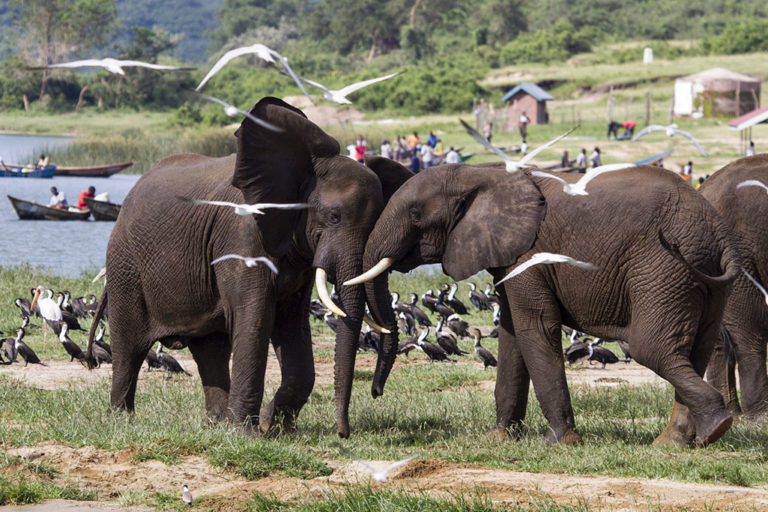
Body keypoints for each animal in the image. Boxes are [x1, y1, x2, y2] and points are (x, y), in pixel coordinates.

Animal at [88, 96, 414, 436]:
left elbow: (291, 322)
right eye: (334, 217)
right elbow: (256, 315)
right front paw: (247, 432)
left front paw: (271, 424)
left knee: (210, 348)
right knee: (130, 347)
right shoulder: (240, 235)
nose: (343, 432)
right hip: (125, 263)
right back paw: (122, 419)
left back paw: (216, 424)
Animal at [352, 162, 740, 446]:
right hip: (697, 276)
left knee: (652, 348)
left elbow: (534, 328)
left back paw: (715, 426)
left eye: (416, 214)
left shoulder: (530, 256)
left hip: (662, 267)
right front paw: (498, 438)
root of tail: (721, 235)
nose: (376, 393)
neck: (482, 173)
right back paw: (681, 441)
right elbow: (511, 336)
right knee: (696, 348)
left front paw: (559, 442)